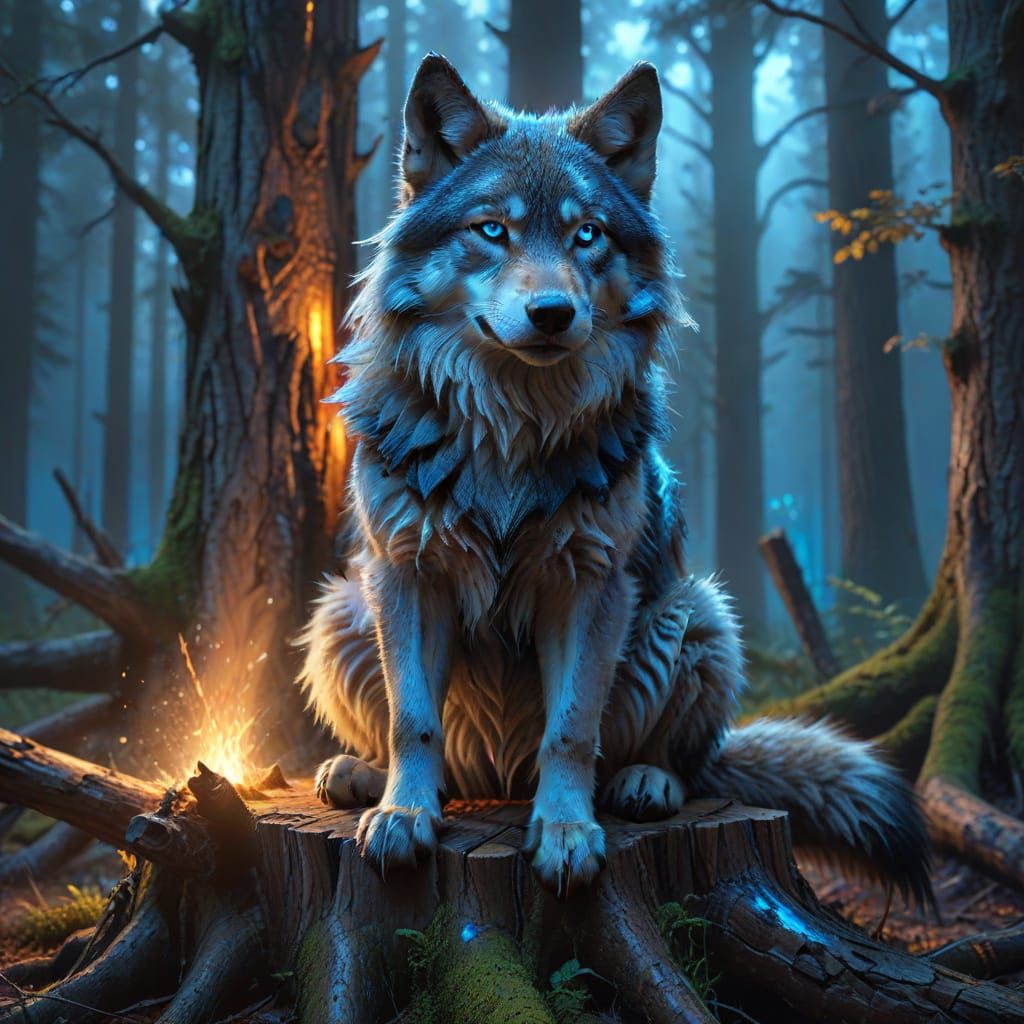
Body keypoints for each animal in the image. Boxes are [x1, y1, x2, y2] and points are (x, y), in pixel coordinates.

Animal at [299, 54, 930, 900]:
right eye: (491, 230)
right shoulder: (405, 572)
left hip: (695, 612)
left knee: (676, 763)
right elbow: (414, 722)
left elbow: (571, 731)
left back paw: (645, 783)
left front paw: (567, 833)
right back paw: (359, 776)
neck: (511, 426)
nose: (553, 313)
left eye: (587, 234)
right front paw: (404, 815)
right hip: (341, 608)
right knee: (434, 753)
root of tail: (499, 783)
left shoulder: (591, 583)